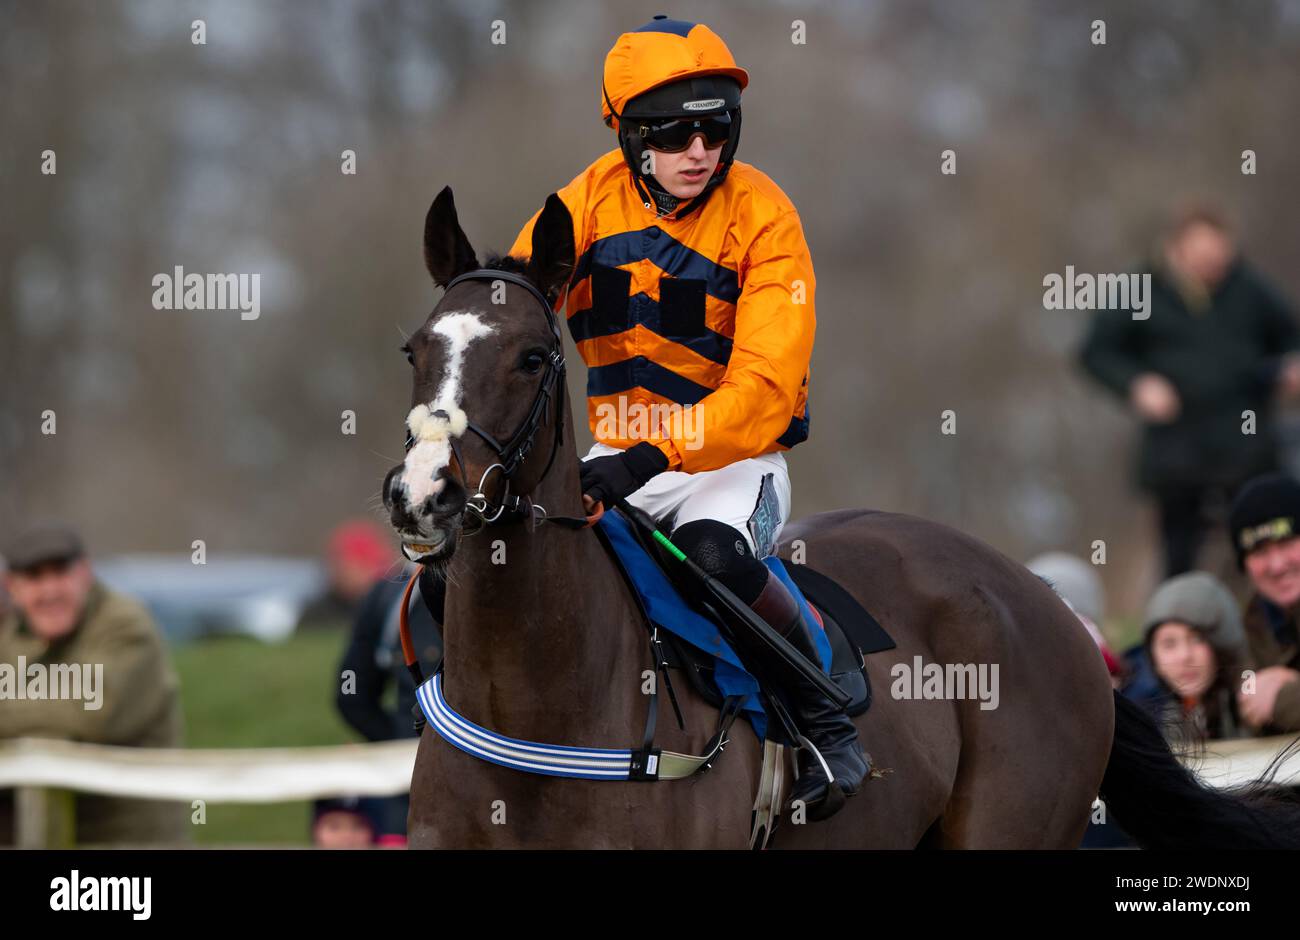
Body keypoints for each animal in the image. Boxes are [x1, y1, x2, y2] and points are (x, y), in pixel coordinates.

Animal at [382, 187, 1300, 847]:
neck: (538, 707)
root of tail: (1046, 602)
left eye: (532, 355)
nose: (423, 493)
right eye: (415, 349)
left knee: (717, 550)